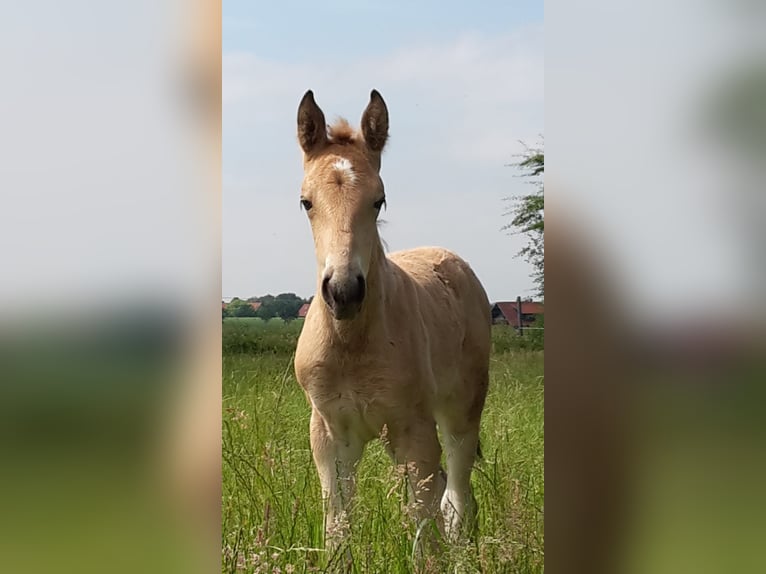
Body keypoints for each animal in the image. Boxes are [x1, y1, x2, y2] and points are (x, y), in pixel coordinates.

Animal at [293, 90, 491, 551]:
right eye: (306, 202)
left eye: (378, 200)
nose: (343, 292)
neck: (353, 343)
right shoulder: (329, 435)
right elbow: (337, 526)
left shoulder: (413, 432)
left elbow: (423, 535)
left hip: (461, 411)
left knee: (457, 494)